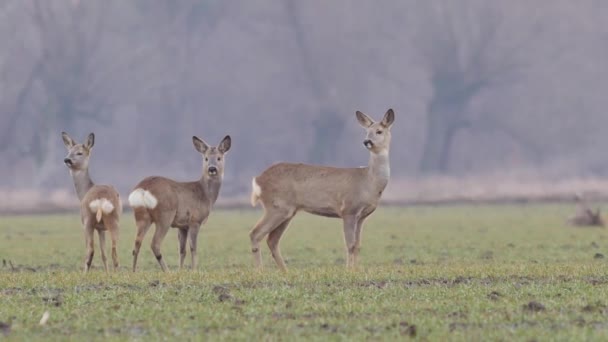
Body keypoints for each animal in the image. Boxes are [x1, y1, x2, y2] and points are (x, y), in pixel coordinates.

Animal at [62, 132, 123, 274]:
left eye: (79, 153)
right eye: (69, 151)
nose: (67, 159)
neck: (85, 191)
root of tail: (100, 200)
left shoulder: (90, 224)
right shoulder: (101, 228)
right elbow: (104, 254)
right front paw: (107, 274)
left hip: (88, 221)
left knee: (90, 250)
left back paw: (84, 274)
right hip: (114, 220)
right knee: (114, 251)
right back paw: (115, 274)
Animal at [127, 135, 230, 272]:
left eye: (219, 158)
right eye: (206, 158)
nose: (212, 169)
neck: (205, 194)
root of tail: (143, 188)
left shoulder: (182, 226)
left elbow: (182, 250)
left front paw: (181, 271)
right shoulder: (195, 220)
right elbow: (193, 248)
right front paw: (193, 270)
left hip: (141, 215)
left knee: (137, 243)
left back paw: (134, 271)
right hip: (165, 215)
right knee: (155, 244)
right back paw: (167, 271)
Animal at [251, 108, 396, 272]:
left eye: (379, 131)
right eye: (367, 132)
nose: (367, 142)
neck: (369, 181)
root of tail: (258, 179)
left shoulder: (362, 217)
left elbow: (358, 245)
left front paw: (356, 270)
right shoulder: (348, 210)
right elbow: (350, 245)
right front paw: (349, 271)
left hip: (287, 212)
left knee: (272, 240)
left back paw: (285, 272)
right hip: (277, 207)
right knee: (255, 234)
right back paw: (260, 271)